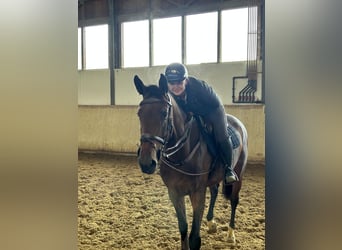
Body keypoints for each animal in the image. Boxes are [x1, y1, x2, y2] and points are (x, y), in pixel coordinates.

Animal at [132, 73, 247, 249]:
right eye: (140, 113)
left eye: (164, 113)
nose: (146, 162)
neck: (182, 153)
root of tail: (238, 123)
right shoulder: (174, 193)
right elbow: (183, 228)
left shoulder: (197, 193)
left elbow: (194, 237)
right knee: (214, 191)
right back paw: (211, 223)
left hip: (238, 174)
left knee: (234, 200)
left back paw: (230, 234)